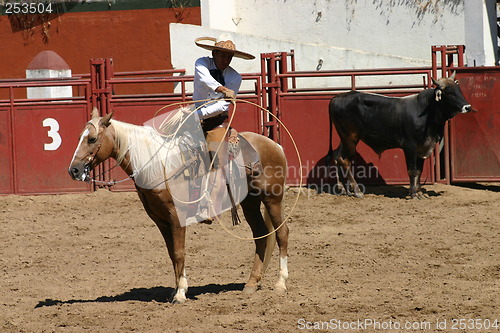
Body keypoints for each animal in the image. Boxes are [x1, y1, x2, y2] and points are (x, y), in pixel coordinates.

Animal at [69, 107, 292, 302]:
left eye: (92, 139)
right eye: (79, 136)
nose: (74, 170)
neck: (160, 166)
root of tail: (275, 145)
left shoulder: (177, 217)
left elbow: (179, 252)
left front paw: (181, 293)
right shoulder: (160, 220)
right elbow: (172, 254)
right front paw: (175, 290)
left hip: (272, 198)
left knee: (282, 233)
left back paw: (280, 283)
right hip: (250, 203)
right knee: (261, 235)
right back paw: (252, 283)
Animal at [326, 72, 470, 197]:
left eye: (459, 90)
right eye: (450, 93)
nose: (467, 107)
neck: (426, 112)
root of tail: (336, 97)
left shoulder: (422, 146)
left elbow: (419, 171)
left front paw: (419, 193)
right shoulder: (410, 146)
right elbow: (412, 170)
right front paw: (413, 194)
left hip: (344, 138)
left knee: (337, 156)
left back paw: (344, 189)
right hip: (350, 138)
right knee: (344, 161)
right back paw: (357, 191)